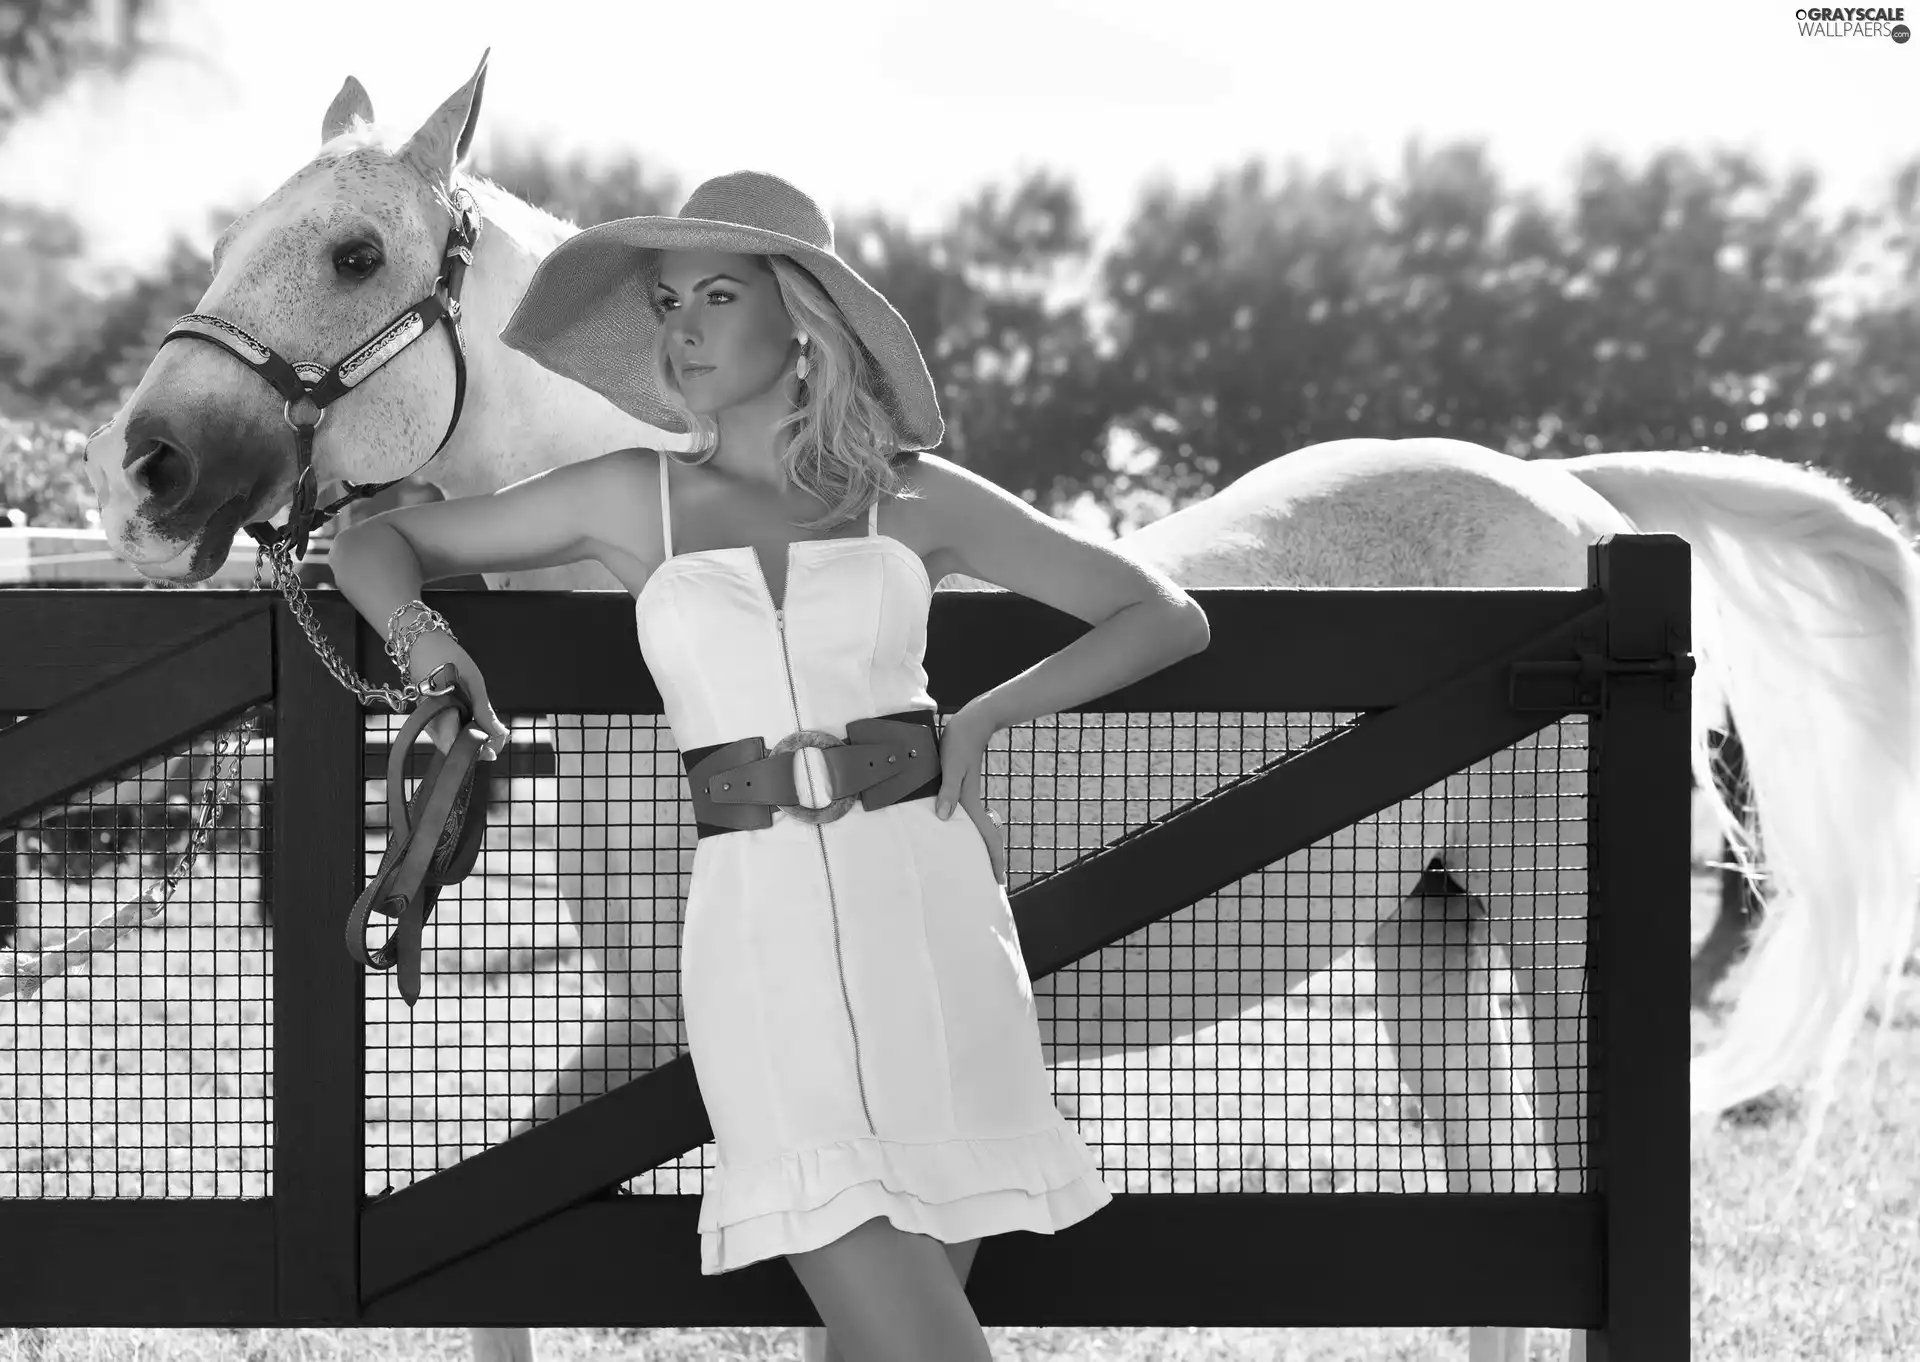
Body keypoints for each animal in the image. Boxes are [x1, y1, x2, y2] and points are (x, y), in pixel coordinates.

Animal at [78, 50, 1920, 1360]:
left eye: (353, 250)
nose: (146, 462)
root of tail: (1578, 505)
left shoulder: (664, 1047)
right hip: (1427, 938)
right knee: (1495, 1240)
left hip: (1551, 937)